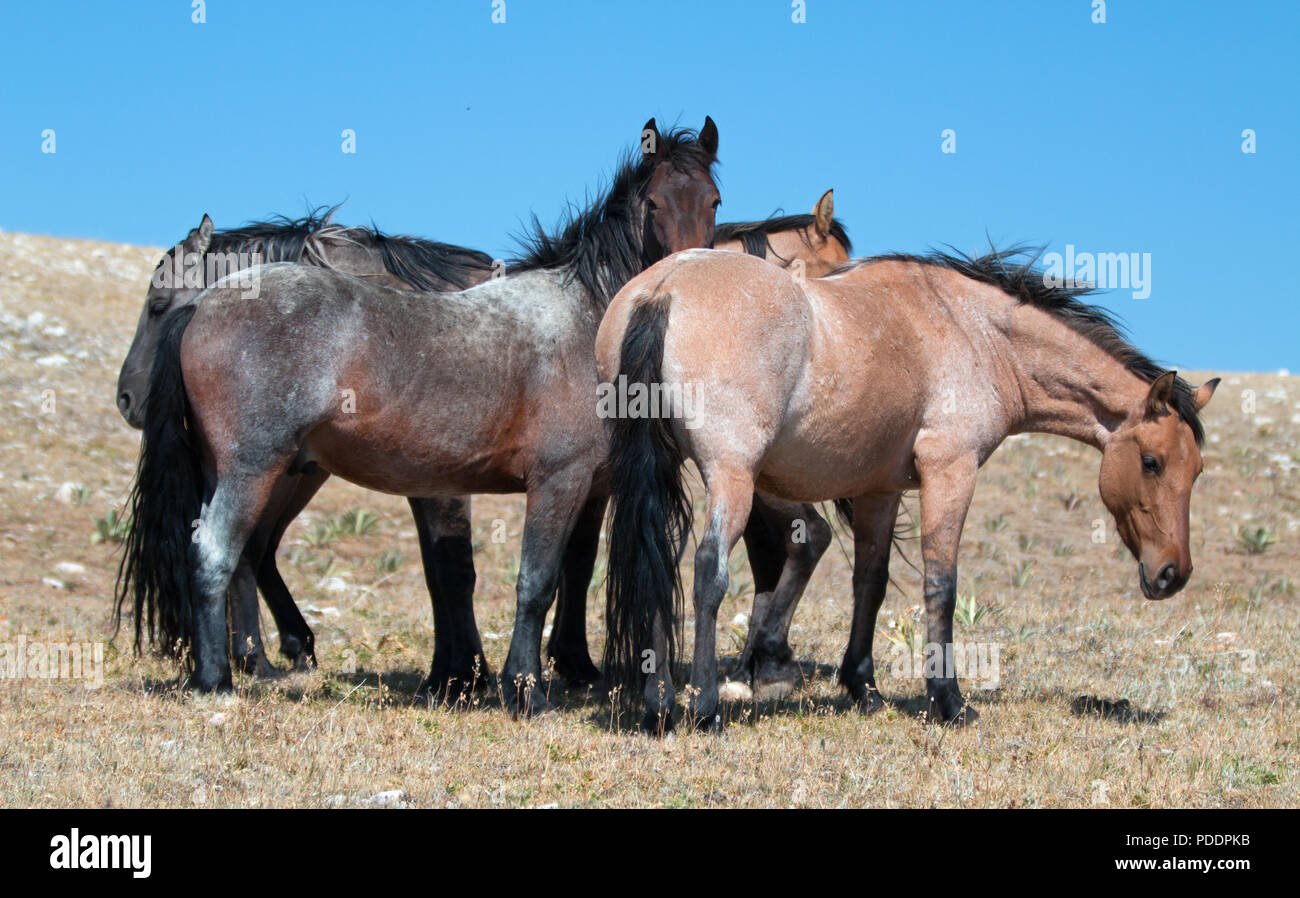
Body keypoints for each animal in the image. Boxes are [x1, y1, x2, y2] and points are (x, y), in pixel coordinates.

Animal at [114, 119, 722, 712]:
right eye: (653, 203)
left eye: (714, 200)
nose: (689, 279)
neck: (584, 319)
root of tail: (206, 304)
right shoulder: (557, 481)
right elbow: (534, 583)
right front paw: (523, 690)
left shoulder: (588, 487)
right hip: (254, 471)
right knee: (216, 555)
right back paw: (218, 681)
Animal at [595, 244, 1216, 732]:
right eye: (1153, 462)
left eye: (1196, 471)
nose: (1173, 573)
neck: (971, 329)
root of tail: (662, 289)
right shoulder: (951, 471)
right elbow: (941, 586)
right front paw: (950, 703)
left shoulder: (880, 490)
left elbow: (869, 584)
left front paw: (863, 688)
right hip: (732, 475)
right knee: (708, 570)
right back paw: (704, 709)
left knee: (659, 562)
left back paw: (658, 703)